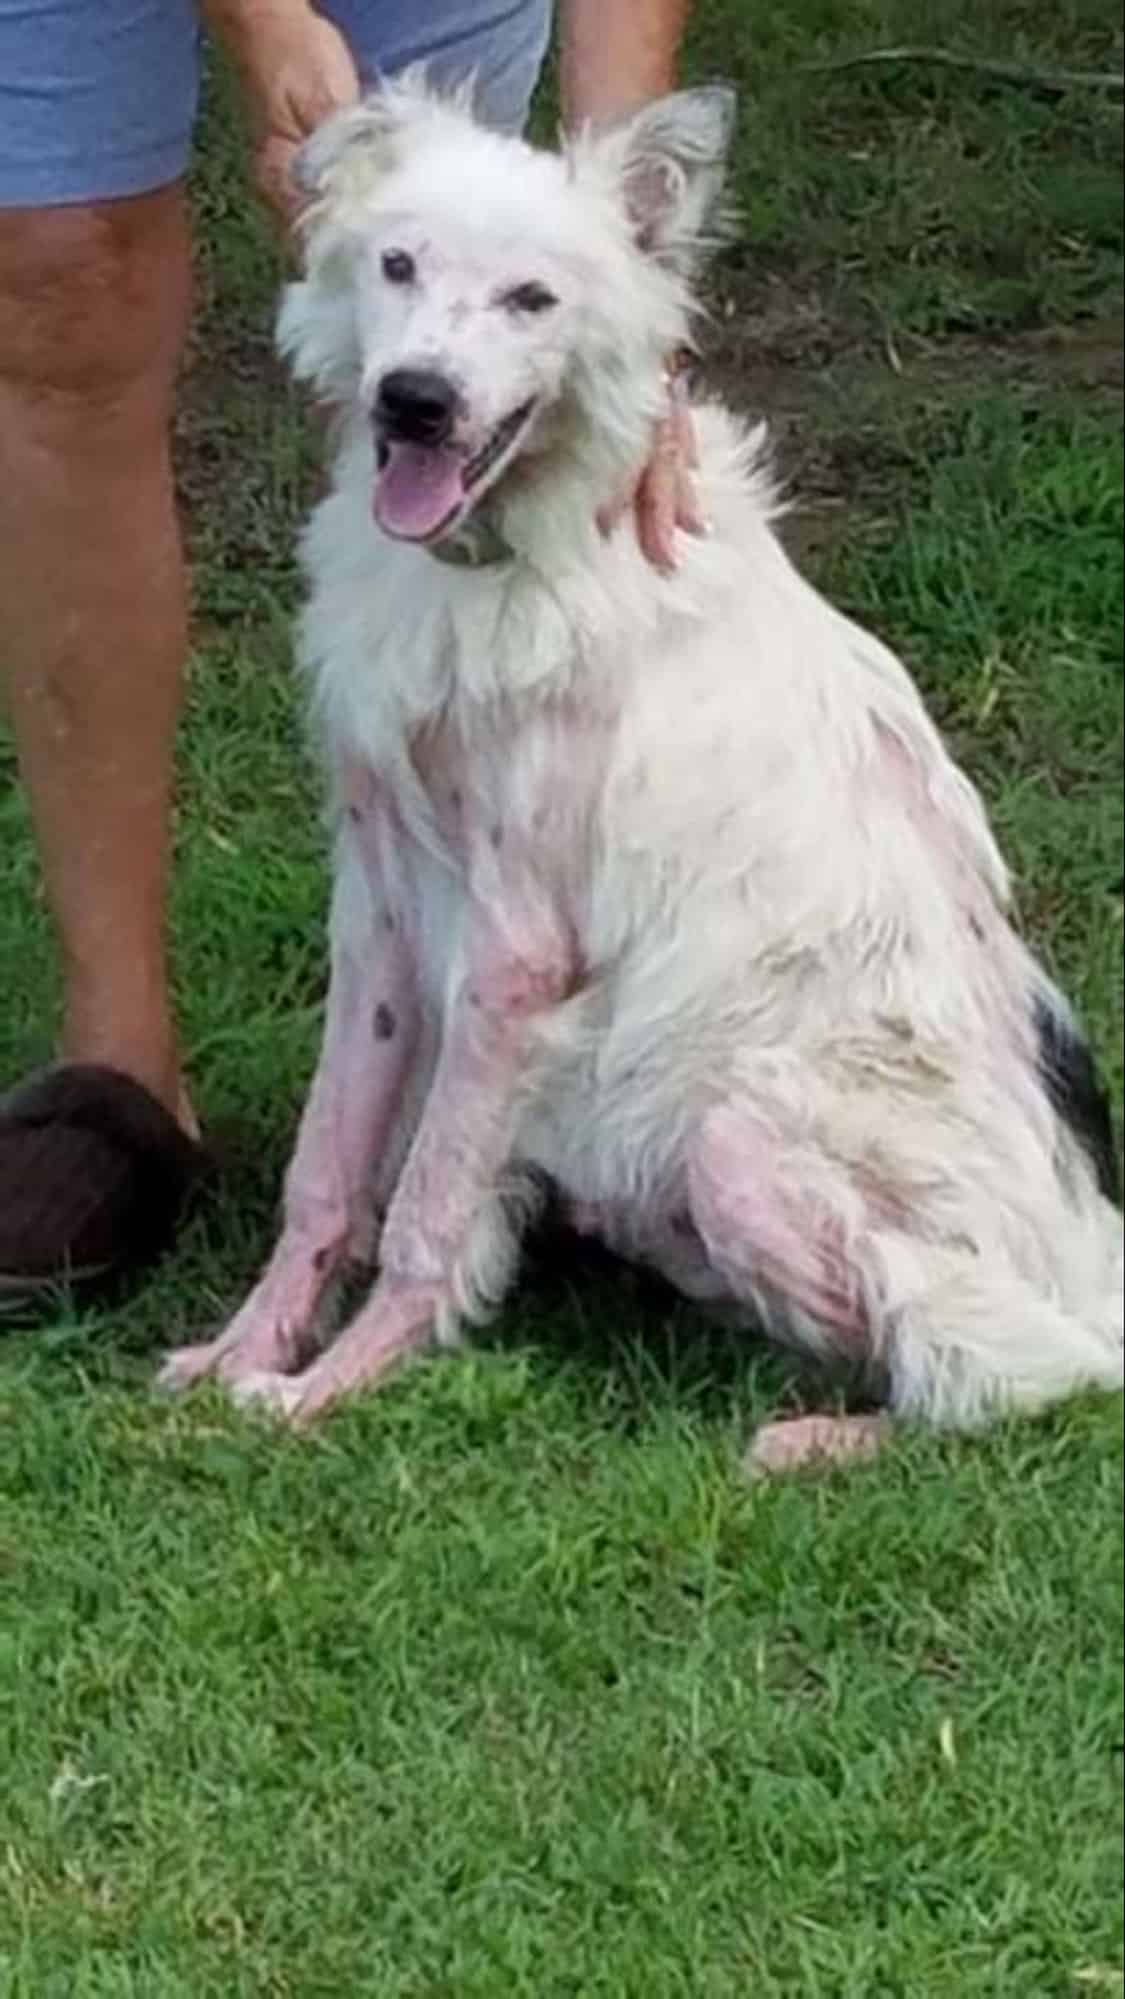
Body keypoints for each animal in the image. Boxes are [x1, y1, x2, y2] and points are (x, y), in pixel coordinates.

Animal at [162, 73, 1119, 1471]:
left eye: (532, 299)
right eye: (398, 265)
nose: (414, 401)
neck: (500, 559)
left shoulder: (513, 949)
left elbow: (428, 1210)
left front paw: (329, 1387)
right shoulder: (380, 906)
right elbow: (326, 1170)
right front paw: (244, 1351)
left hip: (733, 1137)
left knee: (1013, 1373)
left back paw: (817, 1439)